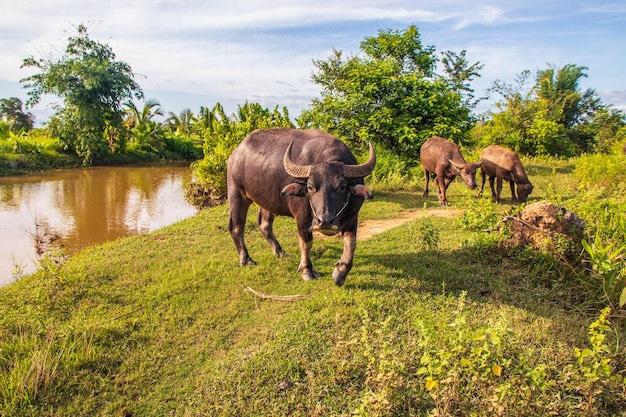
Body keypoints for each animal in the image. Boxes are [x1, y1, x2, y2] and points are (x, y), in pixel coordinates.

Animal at [228, 128, 376, 286]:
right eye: (310, 187)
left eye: (342, 187)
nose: (325, 221)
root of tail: (236, 153)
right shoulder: (302, 218)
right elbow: (306, 243)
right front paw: (307, 270)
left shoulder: (352, 216)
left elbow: (351, 243)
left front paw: (340, 272)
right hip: (237, 195)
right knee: (236, 227)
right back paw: (246, 259)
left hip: (266, 199)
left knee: (264, 224)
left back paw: (279, 251)